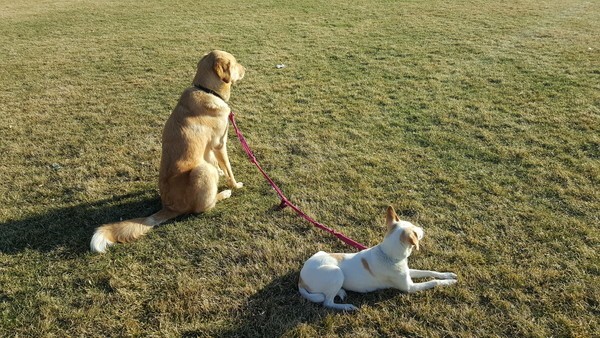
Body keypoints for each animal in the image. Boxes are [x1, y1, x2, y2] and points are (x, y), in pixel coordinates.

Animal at [90, 48, 245, 252]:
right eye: (234, 63)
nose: (246, 69)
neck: (206, 90)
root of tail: (169, 207)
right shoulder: (220, 144)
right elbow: (228, 169)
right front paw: (235, 185)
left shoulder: (210, 148)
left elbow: (215, 161)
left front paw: (222, 174)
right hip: (202, 171)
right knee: (202, 208)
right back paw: (223, 194)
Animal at [298, 205, 458, 310]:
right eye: (416, 231)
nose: (423, 228)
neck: (388, 255)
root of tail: (300, 279)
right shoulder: (409, 288)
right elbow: (433, 282)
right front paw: (449, 282)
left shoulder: (408, 272)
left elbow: (430, 272)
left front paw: (448, 275)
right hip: (336, 273)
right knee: (327, 302)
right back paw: (347, 306)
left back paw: (341, 292)